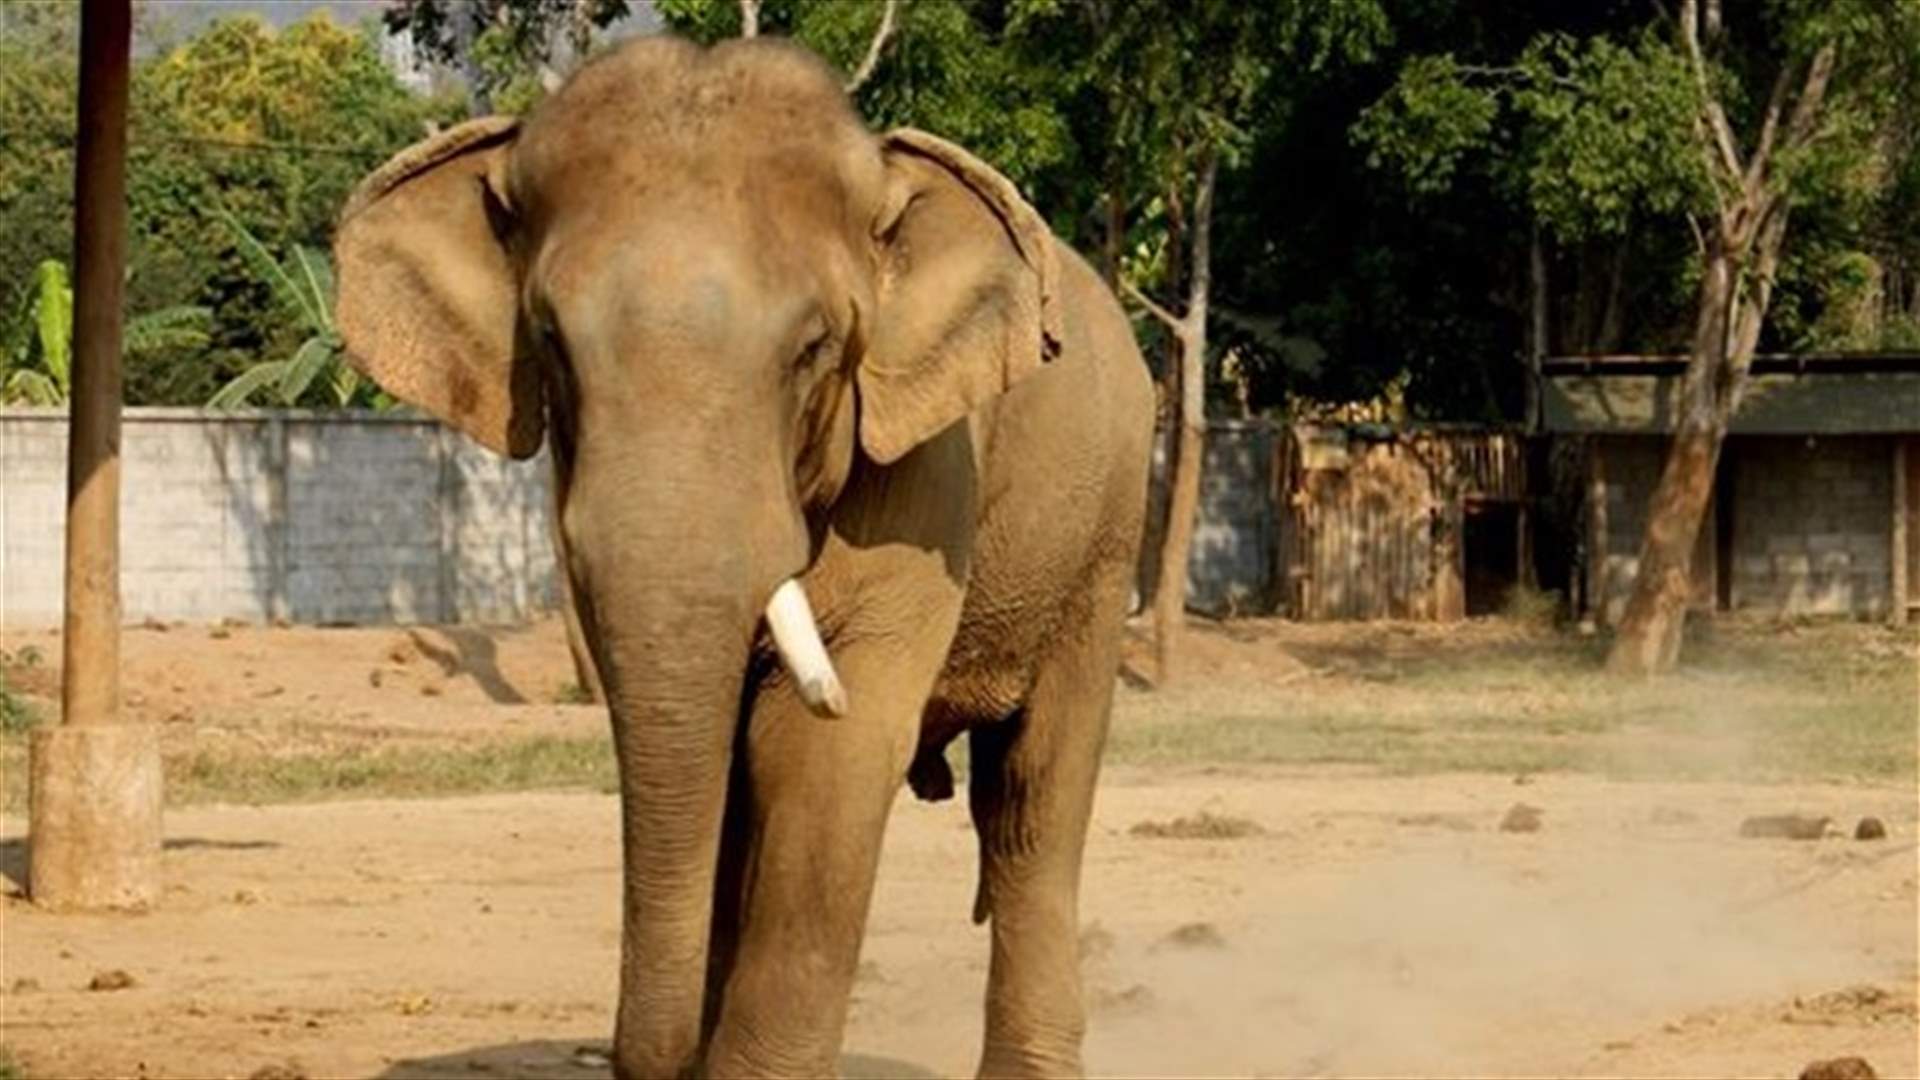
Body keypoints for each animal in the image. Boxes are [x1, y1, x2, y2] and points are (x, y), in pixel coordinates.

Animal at [332, 34, 1152, 1080]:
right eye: (551, 341)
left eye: (813, 348)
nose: (644, 1050)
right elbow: (722, 763)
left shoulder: (929, 475)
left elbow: (826, 749)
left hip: (1103, 537)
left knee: (1030, 807)